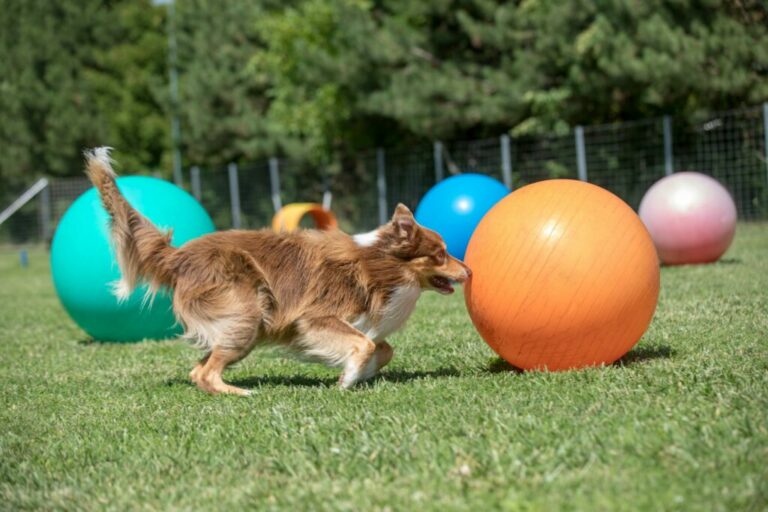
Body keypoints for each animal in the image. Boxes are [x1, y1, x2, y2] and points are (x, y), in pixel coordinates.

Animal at [82, 148, 468, 396]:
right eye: (440, 254)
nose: (470, 270)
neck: (379, 265)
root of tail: (179, 255)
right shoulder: (316, 316)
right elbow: (364, 344)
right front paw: (347, 380)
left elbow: (383, 349)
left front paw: (357, 374)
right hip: (246, 312)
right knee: (206, 373)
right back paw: (240, 394)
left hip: (241, 324)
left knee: (197, 369)